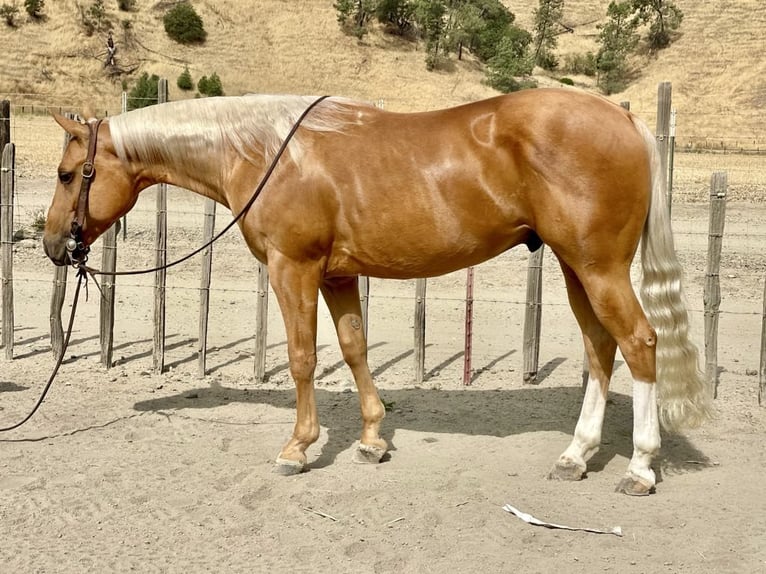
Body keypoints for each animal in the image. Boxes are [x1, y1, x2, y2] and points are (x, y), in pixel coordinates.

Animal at [43, 88, 712, 495]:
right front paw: (370, 441)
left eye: (68, 173)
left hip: (600, 269)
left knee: (640, 343)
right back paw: (576, 455)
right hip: (578, 270)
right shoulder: (337, 275)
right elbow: (354, 349)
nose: (52, 244)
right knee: (601, 349)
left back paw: (641, 467)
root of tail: (622, 118)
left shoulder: (293, 269)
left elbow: (303, 357)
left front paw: (298, 447)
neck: (266, 151)